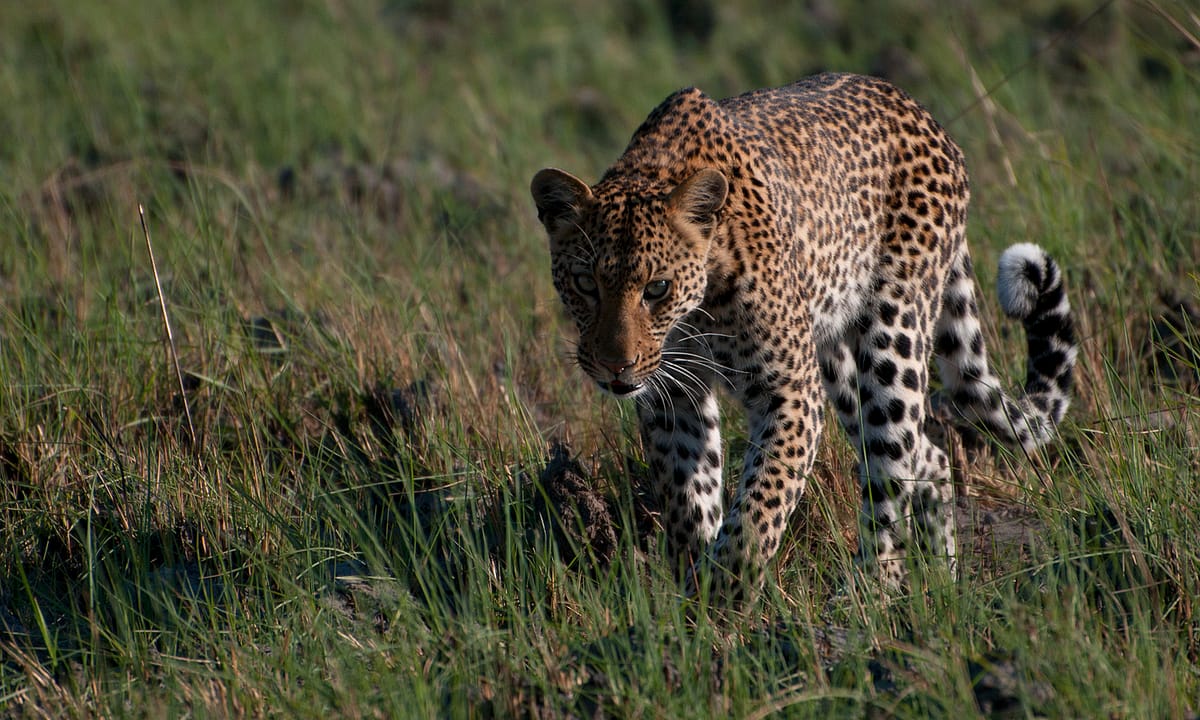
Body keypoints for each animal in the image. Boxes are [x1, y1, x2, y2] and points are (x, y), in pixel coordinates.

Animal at [530, 73, 1075, 602]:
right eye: (585, 284)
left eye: (656, 288)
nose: (615, 366)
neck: (696, 308)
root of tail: (918, 109)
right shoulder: (675, 398)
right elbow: (689, 501)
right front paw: (694, 597)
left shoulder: (789, 390)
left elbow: (761, 508)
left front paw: (724, 592)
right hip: (839, 365)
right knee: (929, 454)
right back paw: (942, 578)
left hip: (893, 337)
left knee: (890, 471)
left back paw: (870, 593)